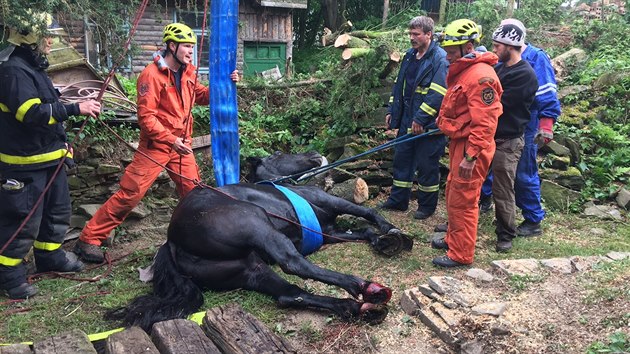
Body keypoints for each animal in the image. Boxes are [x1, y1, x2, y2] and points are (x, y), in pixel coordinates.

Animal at [108, 152, 414, 332]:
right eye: (280, 154)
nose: (316, 154)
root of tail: (171, 242)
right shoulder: (331, 203)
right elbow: (367, 213)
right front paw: (393, 231)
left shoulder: (329, 231)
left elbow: (364, 231)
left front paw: (385, 241)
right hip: (257, 223)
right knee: (294, 264)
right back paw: (365, 288)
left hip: (250, 269)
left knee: (289, 294)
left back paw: (356, 308)